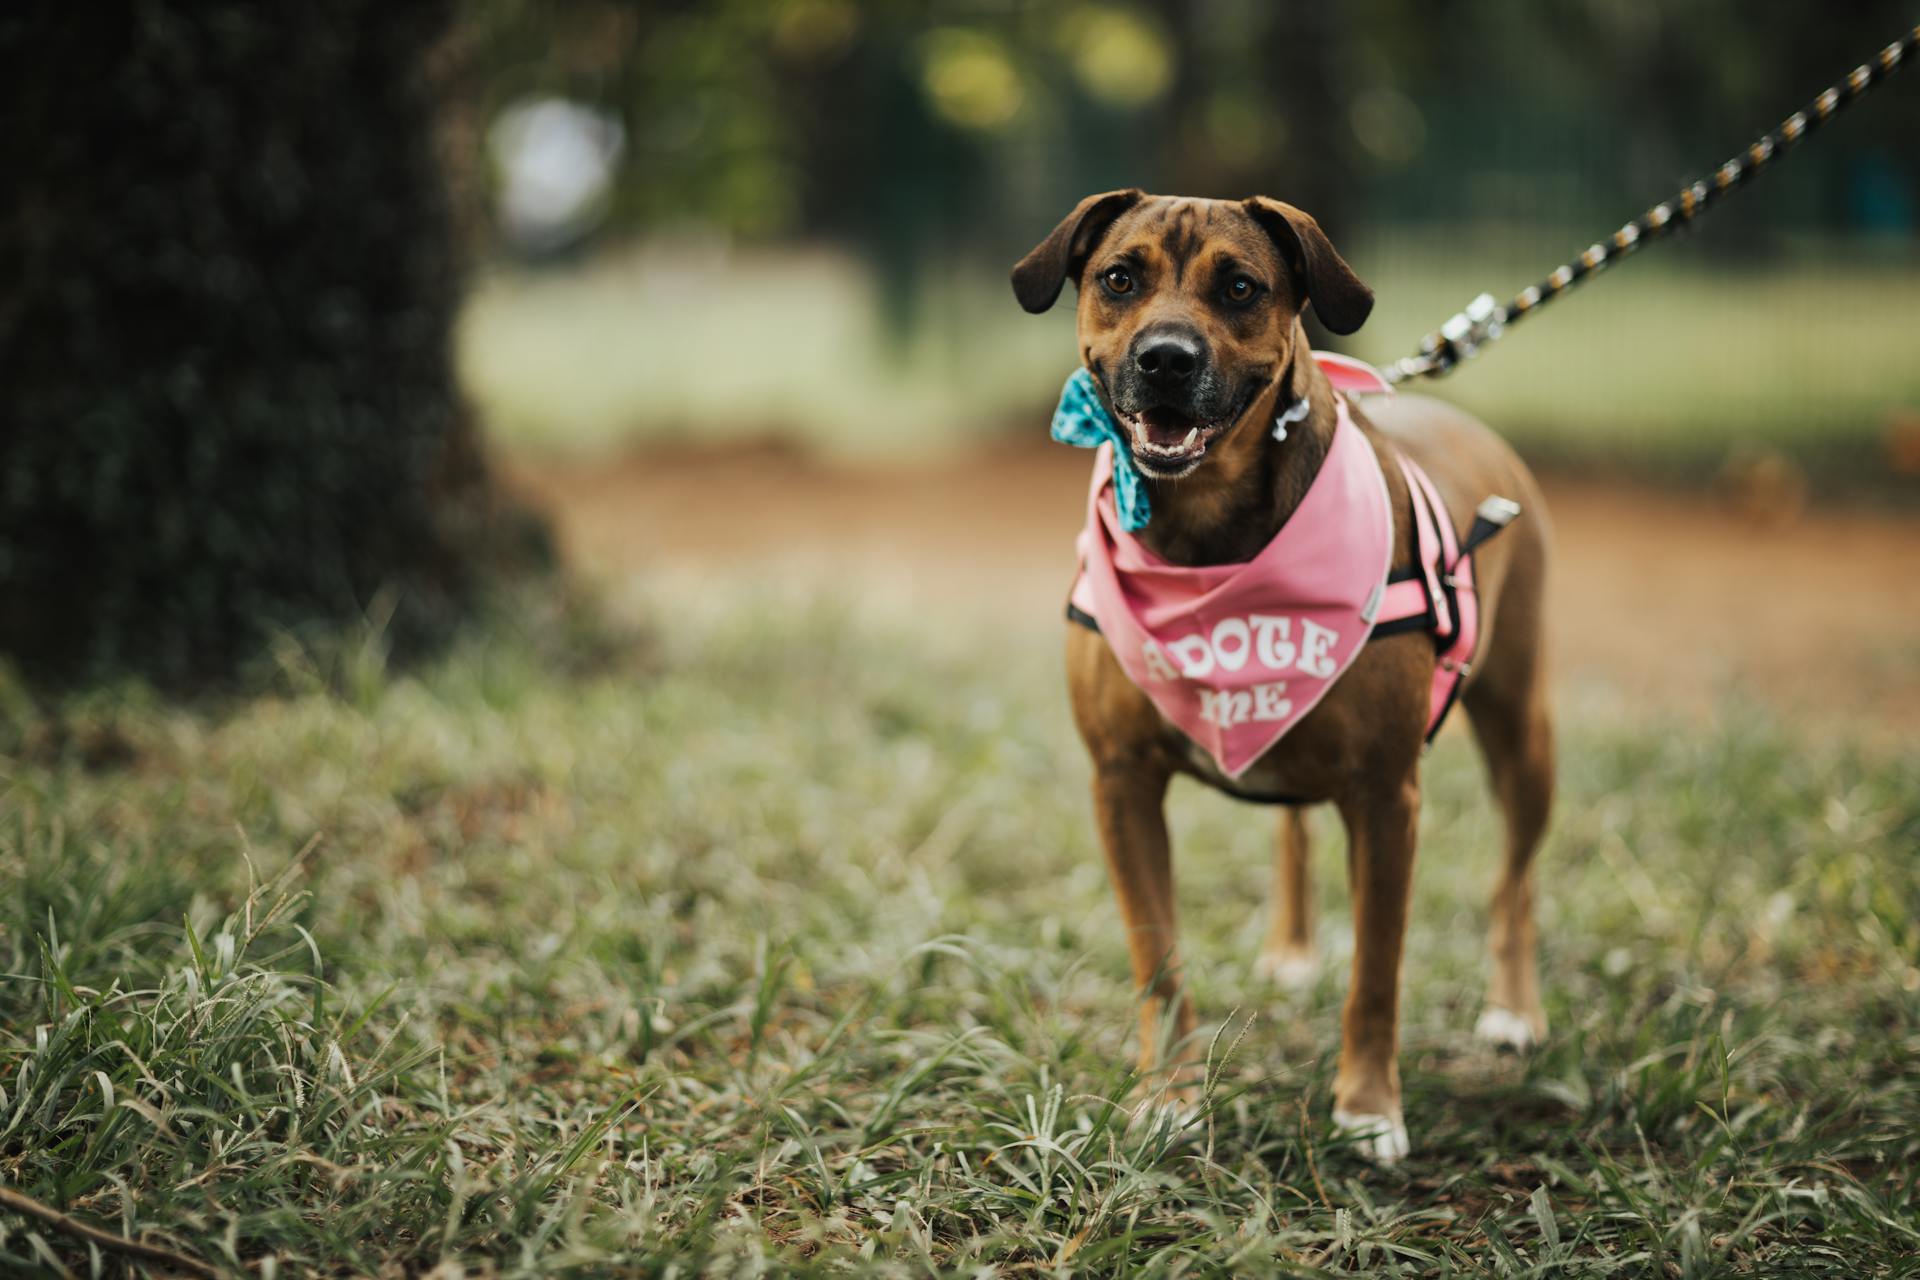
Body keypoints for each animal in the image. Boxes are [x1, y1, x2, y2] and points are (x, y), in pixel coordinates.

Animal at [1013, 189, 1551, 1159]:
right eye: (1120, 278)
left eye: (1240, 287)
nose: (1165, 358)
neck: (1205, 530)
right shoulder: (1121, 781)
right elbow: (1159, 960)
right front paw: (1170, 1097)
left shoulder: (1386, 796)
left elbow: (1377, 971)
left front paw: (1368, 1108)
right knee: (1293, 831)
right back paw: (1293, 950)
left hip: (1522, 726)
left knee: (1515, 882)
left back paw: (1514, 1011)